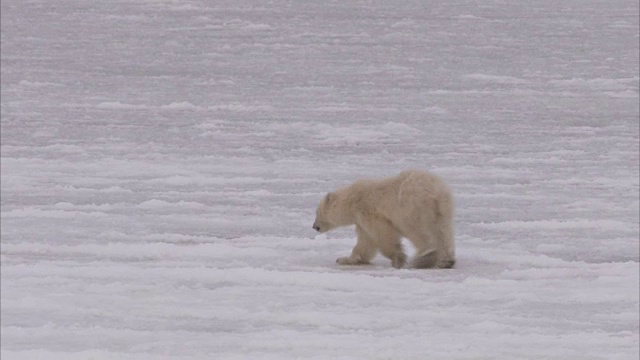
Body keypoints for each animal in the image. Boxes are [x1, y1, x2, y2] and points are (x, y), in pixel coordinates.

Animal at [312, 170, 456, 268]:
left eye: (317, 212)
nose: (314, 226)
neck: (353, 200)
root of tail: (436, 191)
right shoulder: (361, 221)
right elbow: (366, 242)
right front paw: (345, 259)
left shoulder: (369, 212)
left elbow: (383, 235)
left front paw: (398, 259)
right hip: (443, 210)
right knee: (443, 231)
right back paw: (446, 261)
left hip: (412, 205)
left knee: (416, 229)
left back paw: (426, 257)